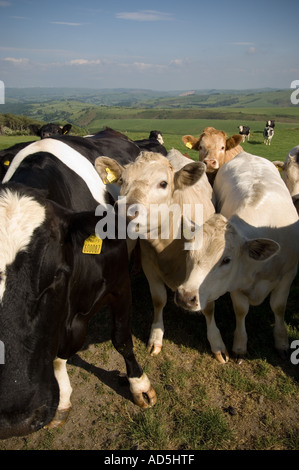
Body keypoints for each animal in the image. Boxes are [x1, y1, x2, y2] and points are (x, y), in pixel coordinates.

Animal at [0, 136, 156, 440]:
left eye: (57, 273)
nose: (15, 421)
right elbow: (58, 356)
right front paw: (62, 399)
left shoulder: (119, 285)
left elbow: (121, 338)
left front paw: (139, 385)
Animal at [176, 152, 299, 362]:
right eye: (189, 252)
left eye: (226, 260)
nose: (185, 297)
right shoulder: (234, 284)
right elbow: (241, 310)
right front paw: (240, 346)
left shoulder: (288, 274)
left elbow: (278, 306)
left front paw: (281, 341)